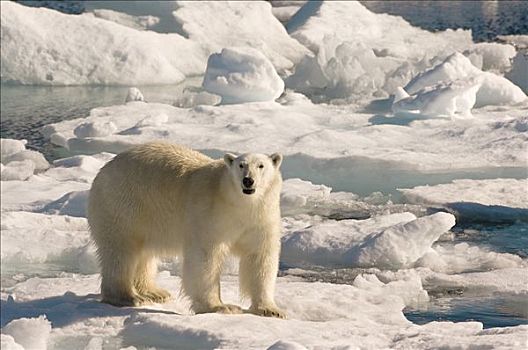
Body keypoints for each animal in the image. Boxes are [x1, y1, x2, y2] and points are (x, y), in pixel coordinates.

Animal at [87, 142, 284, 318]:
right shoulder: (211, 215)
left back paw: (154, 292)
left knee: (144, 253)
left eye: (261, 165)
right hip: (123, 204)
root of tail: (104, 170)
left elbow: (260, 258)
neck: (239, 204)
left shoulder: (260, 219)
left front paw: (271, 310)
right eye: (241, 165)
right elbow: (206, 258)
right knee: (121, 250)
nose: (248, 180)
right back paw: (128, 297)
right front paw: (220, 307)